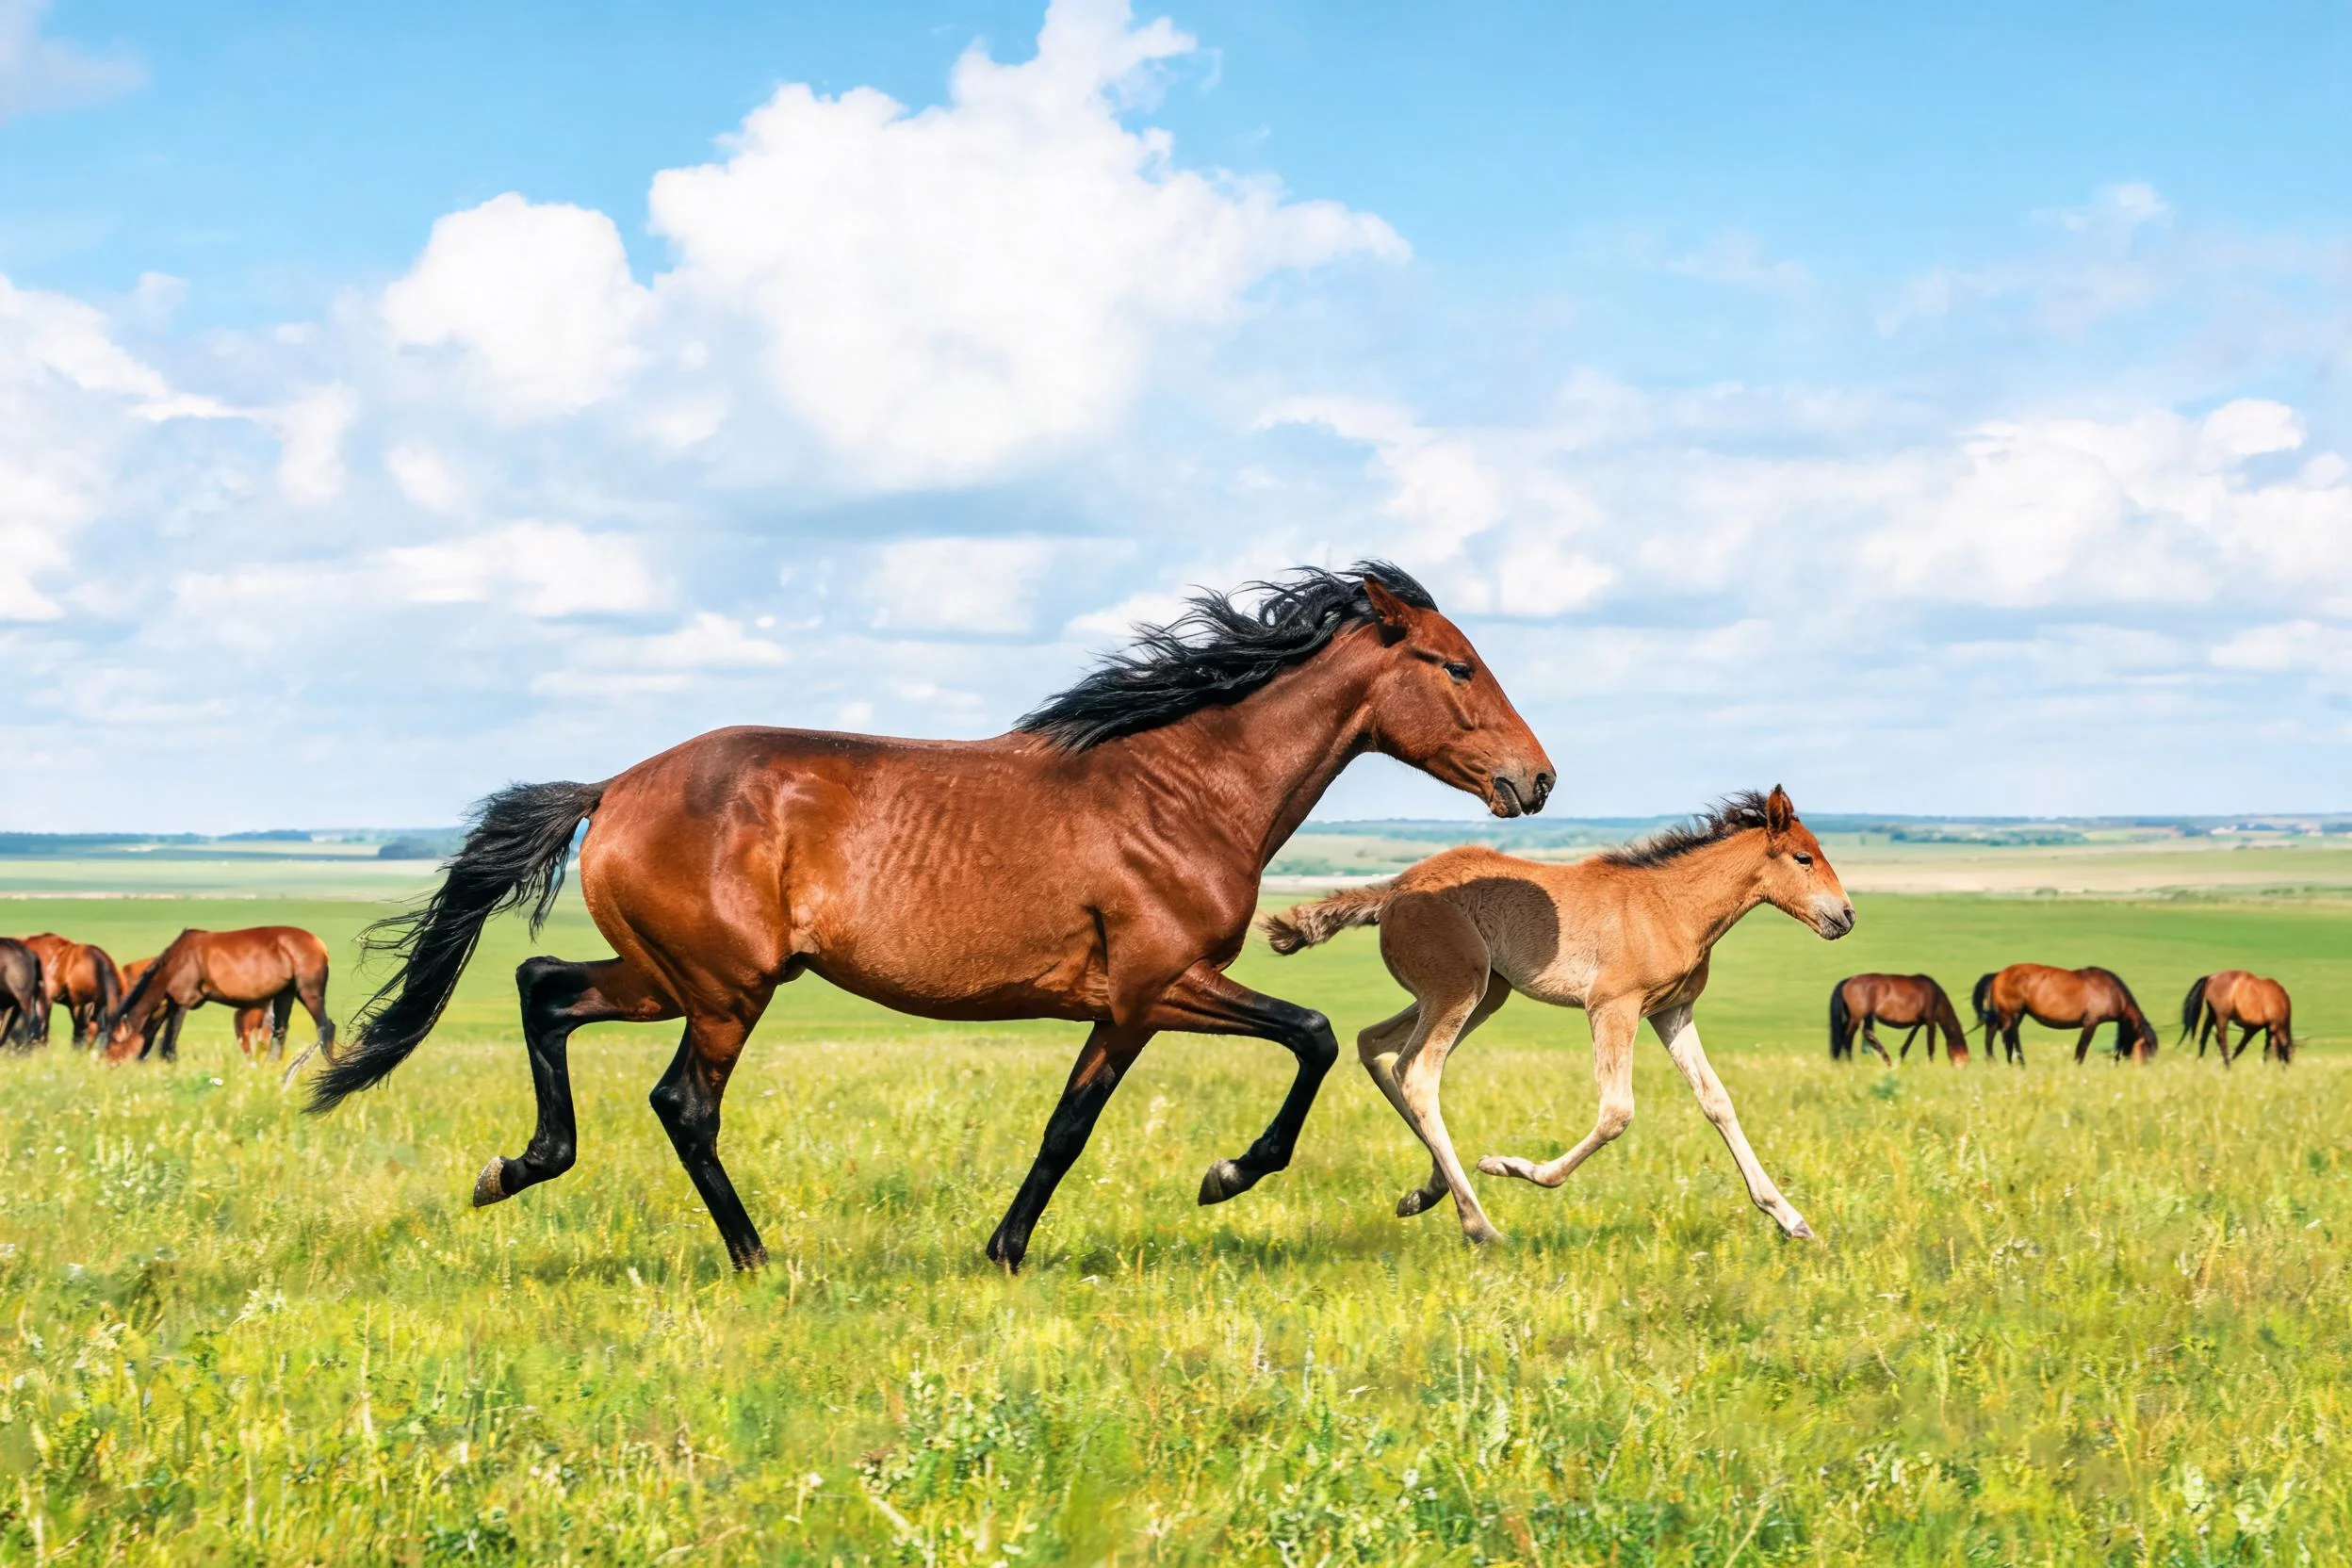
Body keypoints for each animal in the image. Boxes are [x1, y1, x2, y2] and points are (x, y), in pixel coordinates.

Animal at [105, 927, 335, 1077]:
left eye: (114, 1042)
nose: (108, 1066)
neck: (176, 961)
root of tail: (320, 945)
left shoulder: (181, 1003)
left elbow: (169, 1043)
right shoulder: (168, 1004)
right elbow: (151, 1037)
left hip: (309, 993)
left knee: (326, 1026)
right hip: (285, 995)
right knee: (280, 1031)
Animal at [309, 563, 1555, 1272]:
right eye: (1455, 664)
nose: (1536, 779)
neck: (1182, 788)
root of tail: (612, 788)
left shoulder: (1128, 1005)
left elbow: (1076, 1120)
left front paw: (1008, 1247)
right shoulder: (1155, 986)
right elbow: (1299, 1039)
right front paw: (1222, 1176)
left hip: (672, 974)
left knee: (544, 990)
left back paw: (516, 1166)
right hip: (725, 990)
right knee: (681, 1103)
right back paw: (758, 1258)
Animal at [1263, 786, 1850, 1245]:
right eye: (1803, 858)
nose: (1845, 916)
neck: (1672, 905)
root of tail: (1393, 891)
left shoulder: (1672, 1011)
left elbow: (1717, 1101)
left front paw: (1789, 1218)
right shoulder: (1613, 1006)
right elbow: (1616, 1111)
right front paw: (1513, 1167)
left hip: (1482, 993)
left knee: (1377, 1045)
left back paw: (1427, 1193)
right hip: (1459, 989)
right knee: (1419, 1074)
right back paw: (1480, 1225)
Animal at [1829, 973, 1968, 1065]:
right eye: (1963, 1052)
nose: (1962, 1068)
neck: (1936, 997)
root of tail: (1848, 980)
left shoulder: (1918, 1023)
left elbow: (1907, 1043)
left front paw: (1900, 1061)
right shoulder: (1930, 1022)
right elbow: (1931, 1047)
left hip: (1862, 1017)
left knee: (1867, 1034)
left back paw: (1887, 1061)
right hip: (1856, 1019)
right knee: (1847, 1040)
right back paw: (1851, 1063)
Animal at [1971, 964, 2158, 1064]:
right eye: (2148, 1049)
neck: (2111, 991)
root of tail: (1998, 974)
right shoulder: (2091, 1022)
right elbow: (2081, 1048)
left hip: (2008, 1016)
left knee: (1992, 1036)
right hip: (2011, 1015)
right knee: (2009, 1039)